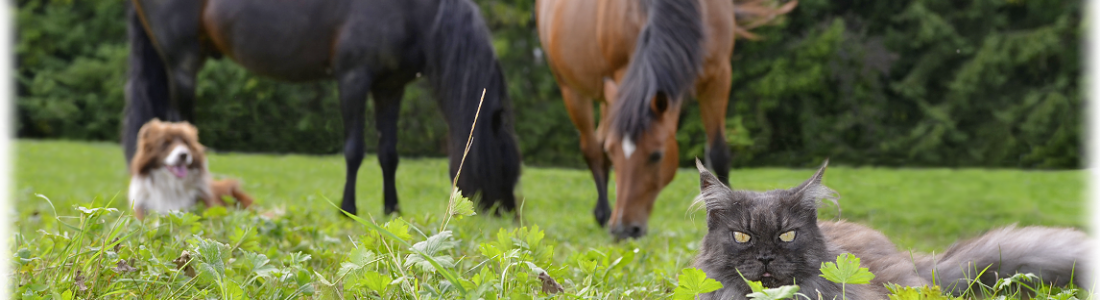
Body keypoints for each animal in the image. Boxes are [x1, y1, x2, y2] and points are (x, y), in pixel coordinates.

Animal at [122, 0, 525, 216]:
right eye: (503, 161)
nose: (504, 210)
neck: (415, 11)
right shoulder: (353, 78)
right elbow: (354, 150)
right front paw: (348, 208)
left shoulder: (390, 87)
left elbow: (389, 154)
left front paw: (392, 209)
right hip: (183, 63)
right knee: (181, 123)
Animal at [536, 0, 796, 238]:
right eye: (615, 155)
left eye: (656, 155)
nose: (622, 229)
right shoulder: (623, 72)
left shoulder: (719, 76)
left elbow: (718, 153)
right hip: (571, 89)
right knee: (592, 148)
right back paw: (602, 212)